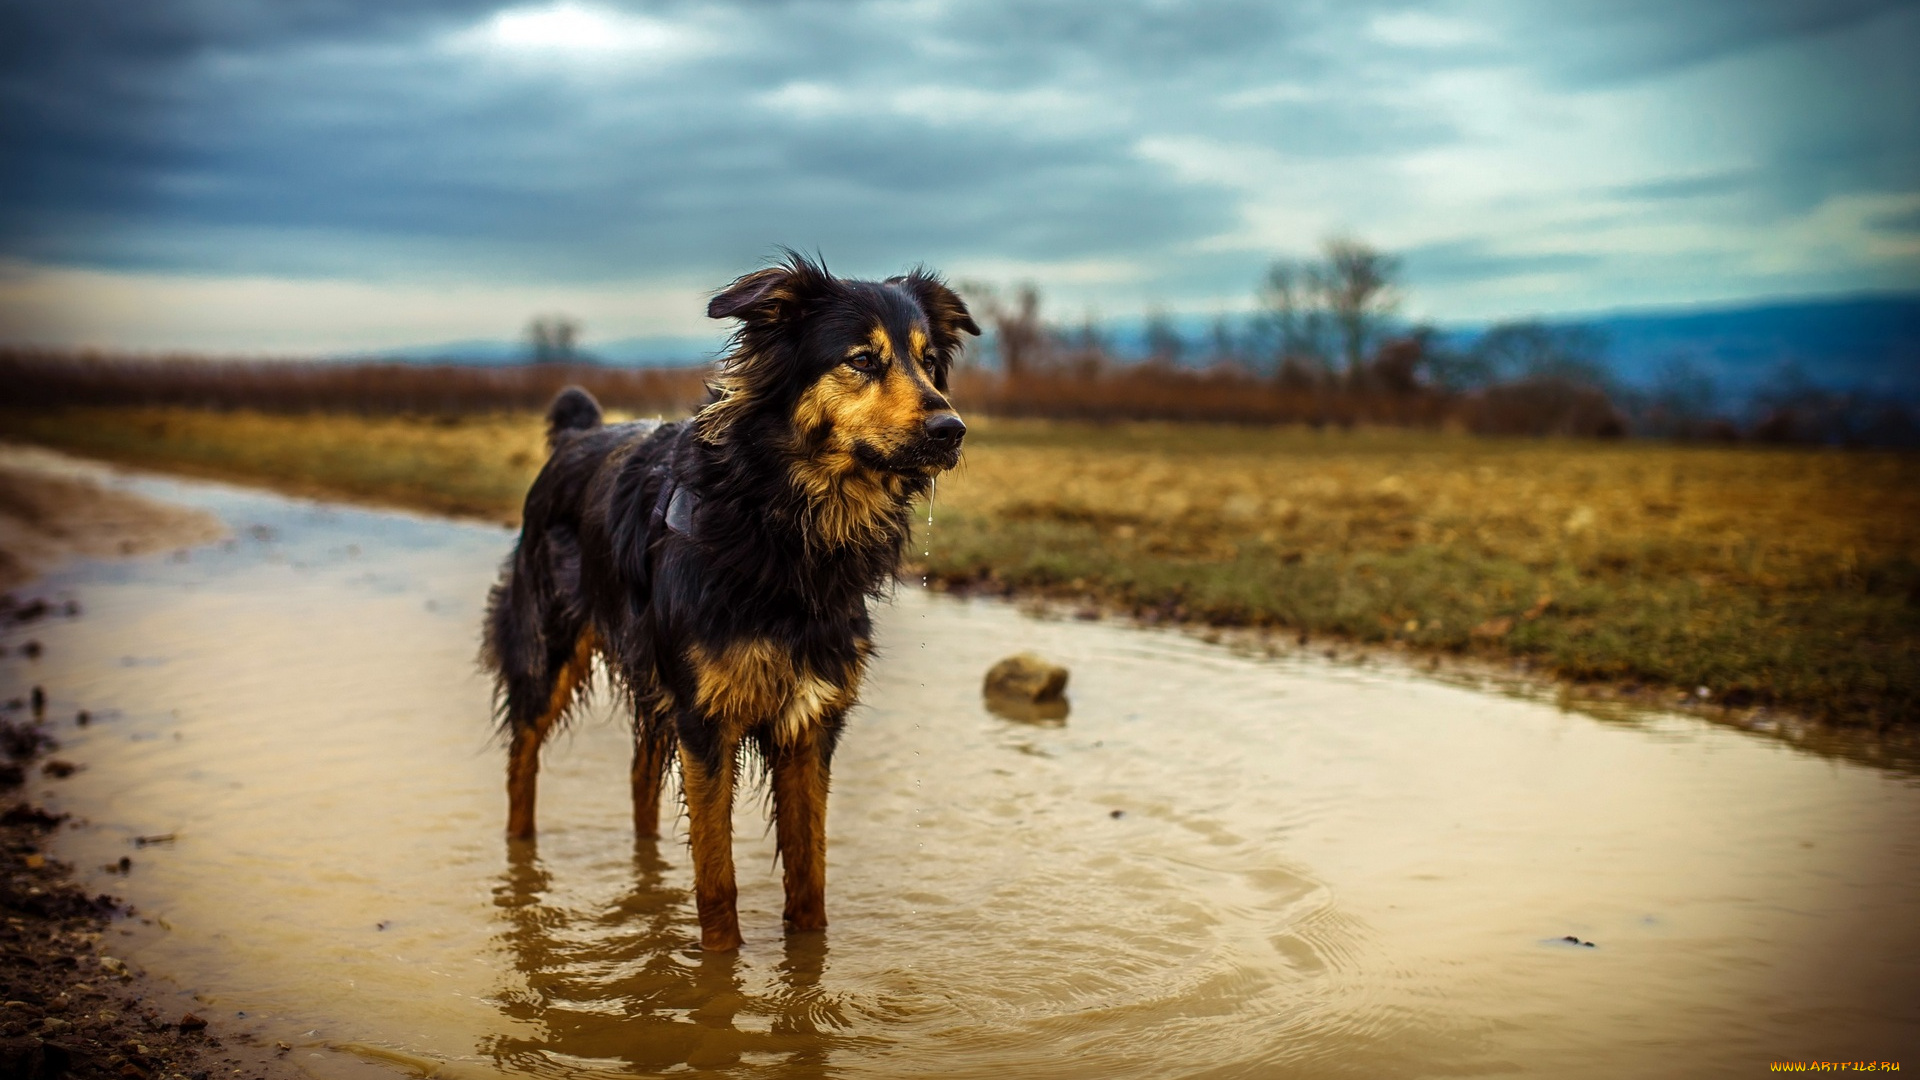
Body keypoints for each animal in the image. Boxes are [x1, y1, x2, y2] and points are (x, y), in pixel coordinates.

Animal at [480, 249, 975, 941]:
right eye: (862, 359)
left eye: (929, 363)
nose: (951, 429)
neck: (784, 528)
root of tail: (580, 435)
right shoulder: (707, 721)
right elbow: (718, 886)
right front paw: (720, 969)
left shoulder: (808, 722)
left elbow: (809, 882)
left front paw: (807, 962)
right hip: (547, 652)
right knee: (521, 766)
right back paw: (521, 876)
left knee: (639, 778)